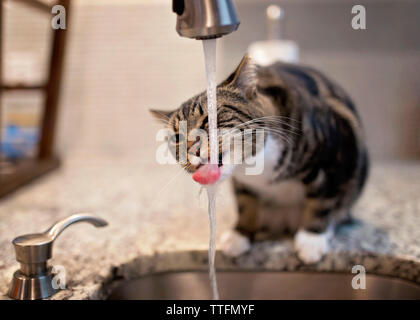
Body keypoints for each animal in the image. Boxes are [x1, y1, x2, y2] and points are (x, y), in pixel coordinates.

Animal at [150, 55, 368, 264]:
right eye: (177, 137)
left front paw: (311, 241)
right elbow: (246, 204)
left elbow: (321, 201)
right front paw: (240, 235)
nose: (191, 148)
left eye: (208, 120)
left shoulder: (332, 157)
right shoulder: (243, 184)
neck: (255, 165)